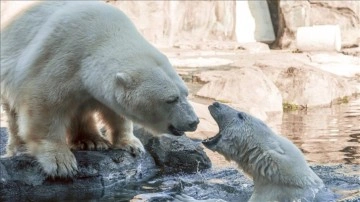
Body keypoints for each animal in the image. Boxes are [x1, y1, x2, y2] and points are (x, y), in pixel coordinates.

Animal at [0, 1, 198, 177]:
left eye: (186, 94)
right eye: (171, 99)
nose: (194, 121)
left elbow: (116, 111)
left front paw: (132, 144)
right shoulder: (59, 56)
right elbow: (44, 103)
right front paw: (60, 162)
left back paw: (92, 141)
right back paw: (20, 147)